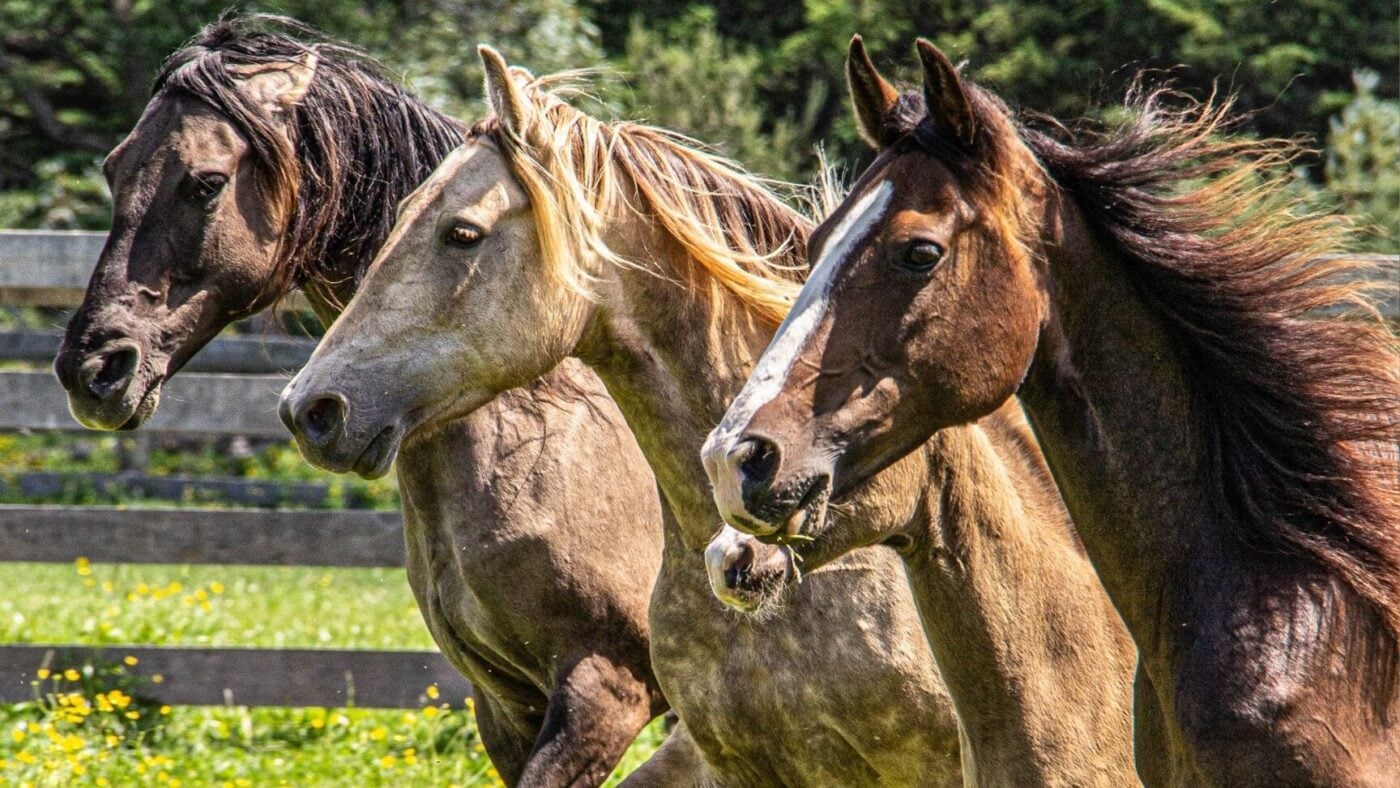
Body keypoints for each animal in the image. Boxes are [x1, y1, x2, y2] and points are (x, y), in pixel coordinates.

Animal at [52, 16, 669, 786]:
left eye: (206, 183)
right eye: (114, 169)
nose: (93, 369)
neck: (547, 441)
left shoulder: (603, 691)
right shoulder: (507, 707)